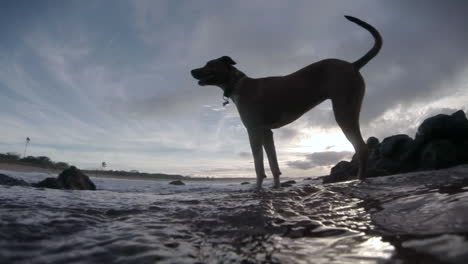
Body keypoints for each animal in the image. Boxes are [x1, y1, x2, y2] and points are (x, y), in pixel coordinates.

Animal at [190, 16, 380, 188]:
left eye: (210, 64)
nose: (192, 71)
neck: (237, 84)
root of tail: (352, 65)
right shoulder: (266, 133)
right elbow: (273, 164)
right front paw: (275, 186)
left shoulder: (253, 131)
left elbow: (258, 165)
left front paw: (257, 187)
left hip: (344, 111)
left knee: (361, 147)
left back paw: (360, 180)